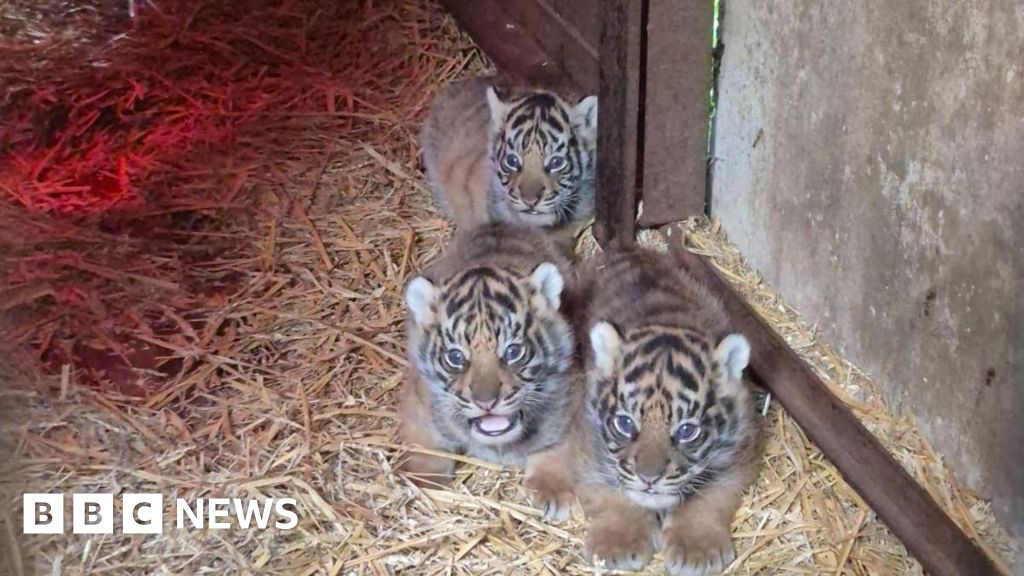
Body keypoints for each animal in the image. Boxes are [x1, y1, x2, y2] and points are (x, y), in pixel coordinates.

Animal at [397, 223, 586, 521]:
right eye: (455, 357)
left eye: (513, 352)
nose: (486, 402)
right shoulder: (419, 401)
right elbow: (423, 444)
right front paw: (424, 485)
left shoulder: (573, 400)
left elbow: (558, 446)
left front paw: (552, 491)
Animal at [572, 248, 764, 576]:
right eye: (625, 423)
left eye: (687, 431)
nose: (649, 478)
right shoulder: (588, 444)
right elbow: (610, 492)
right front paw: (619, 543)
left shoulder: (741, 451)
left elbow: (710, 497)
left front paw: (695, 550)